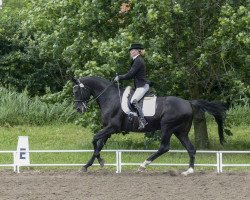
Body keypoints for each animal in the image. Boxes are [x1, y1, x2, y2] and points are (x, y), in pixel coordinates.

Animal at [72, 76, 227, 175]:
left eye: (77, 91)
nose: (79, 109)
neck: (110, 98)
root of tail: (189, 102)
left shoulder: (112, 127)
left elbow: (94, 140)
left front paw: (100, 161)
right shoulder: (108, 129)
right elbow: (98, 145)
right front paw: (87, 166)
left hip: (167, 127)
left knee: (164, 147)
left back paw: (143, 165)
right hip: (181, 132)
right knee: (191, 149)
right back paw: (189, 171)